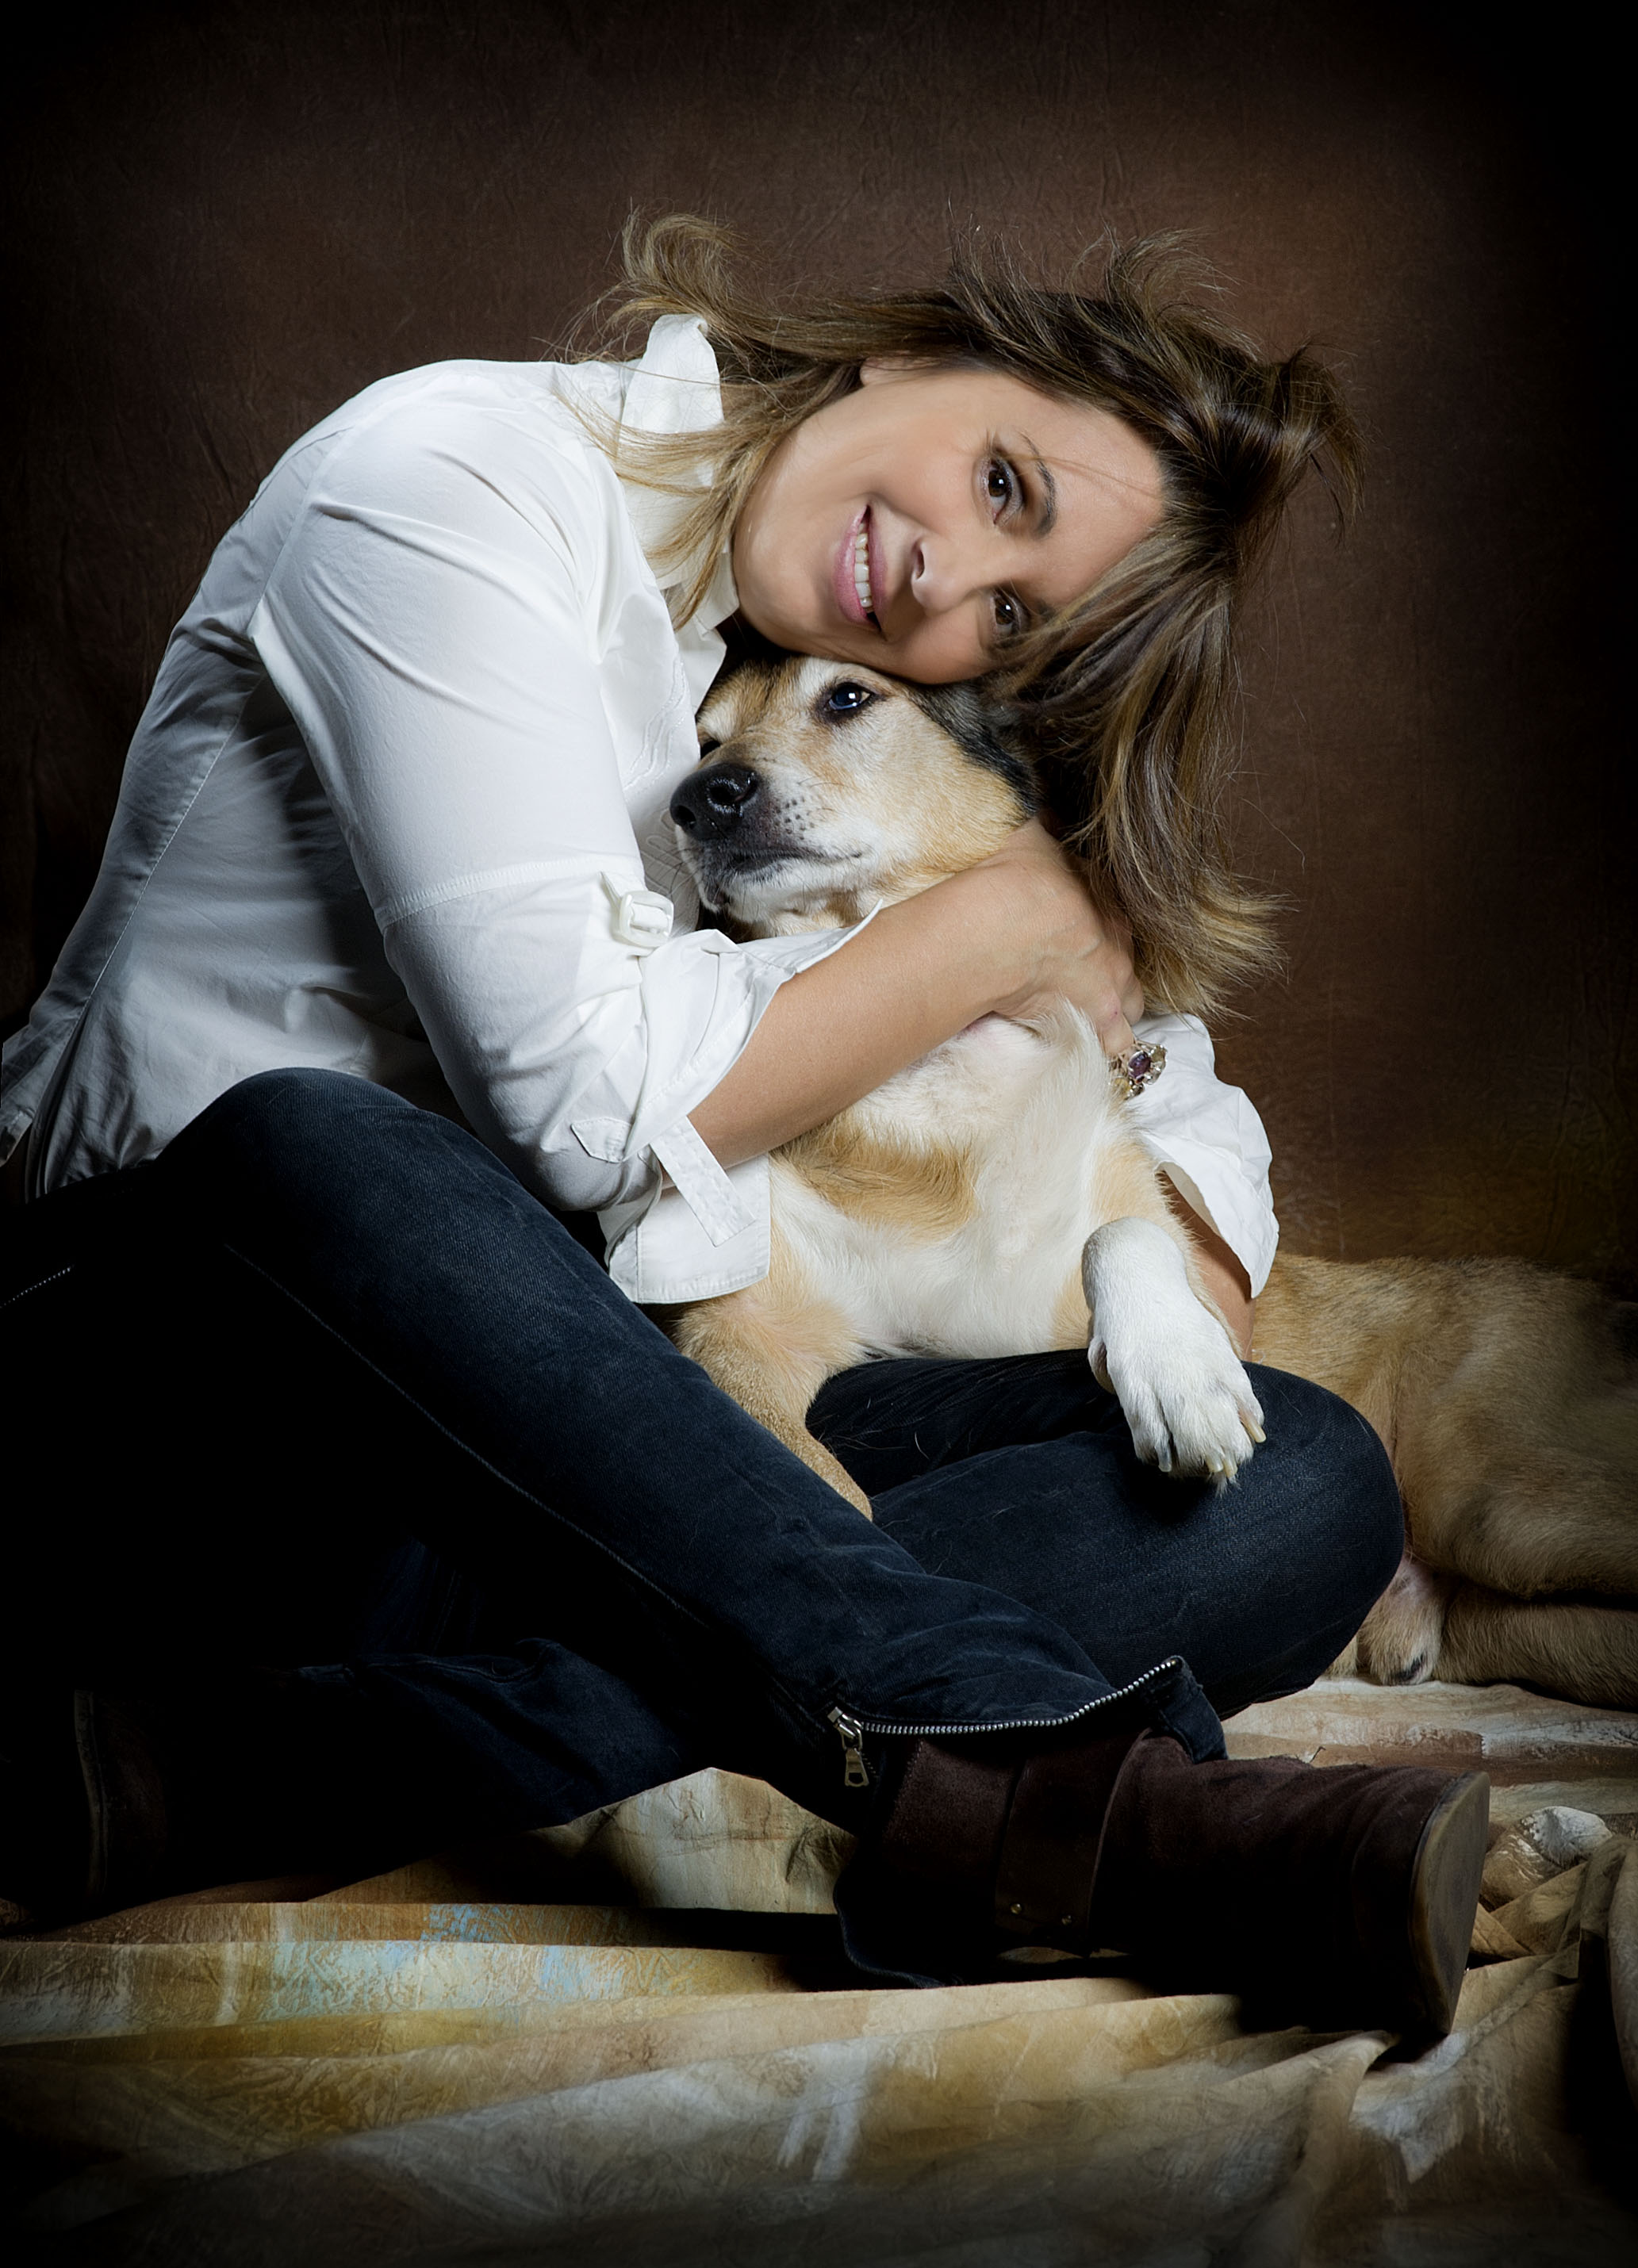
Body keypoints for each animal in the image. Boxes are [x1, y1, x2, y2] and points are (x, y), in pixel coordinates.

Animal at [662, 657, 1638, 1711]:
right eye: (703, 736)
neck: (928, 1099)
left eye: (847, 696)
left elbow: (1121, 1235)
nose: (700, 799)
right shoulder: (742, 1334)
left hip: (1497, 1499)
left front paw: (1179, 1375)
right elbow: (809, 1480)